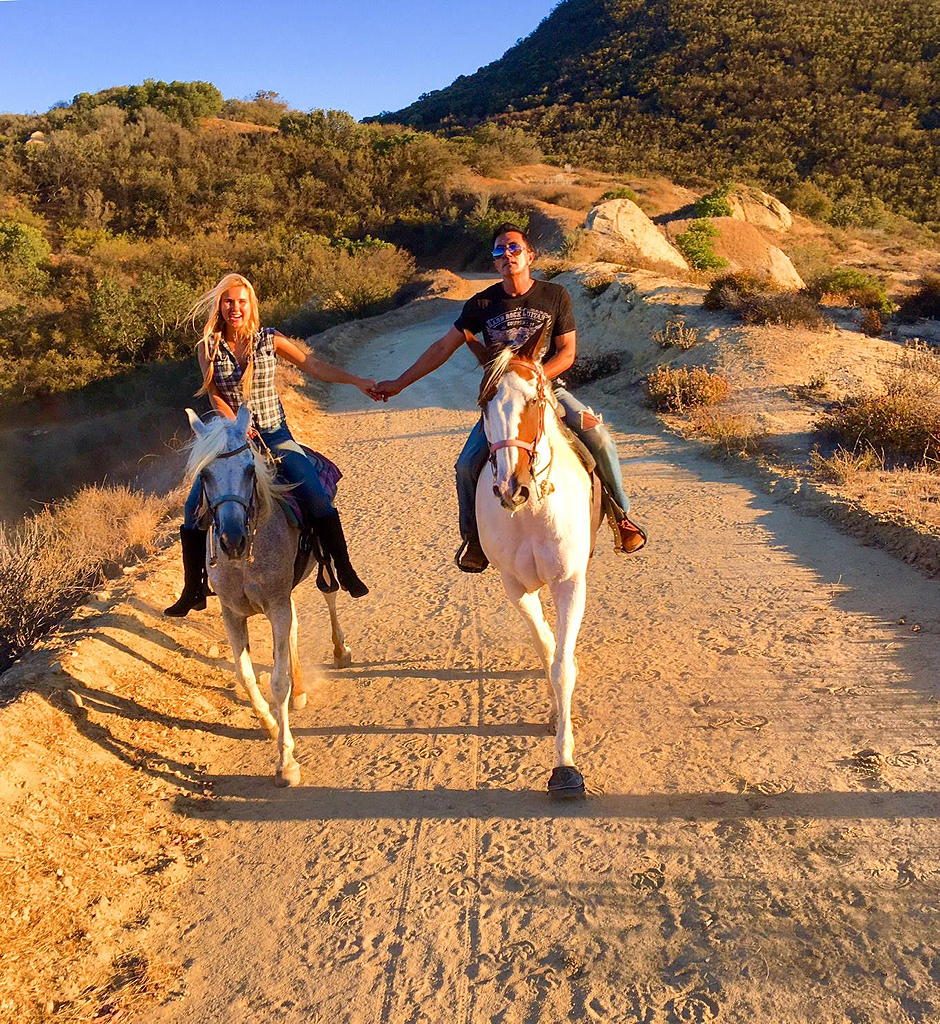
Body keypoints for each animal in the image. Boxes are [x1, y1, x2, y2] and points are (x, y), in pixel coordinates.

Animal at [185, 403, 352, 786]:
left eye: (250, 469)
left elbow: (277, 681)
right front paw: (270, 724)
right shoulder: (233, 613)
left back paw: (340, 651)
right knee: (293, 632)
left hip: (321, 560)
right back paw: (301, 690)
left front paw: (286, 761)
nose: (231, 540)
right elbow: (246, 675)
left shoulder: (275, 605)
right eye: (205, 475)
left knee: (331, 595)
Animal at [479, 335, 597, 798]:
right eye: (484, 403)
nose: (512, 488)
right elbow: (547, 648)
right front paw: (553, 715)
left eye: (533, 399)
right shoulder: (516, 587)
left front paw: (565, 766)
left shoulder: (569, 583)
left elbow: (563, 667)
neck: (531, 511)